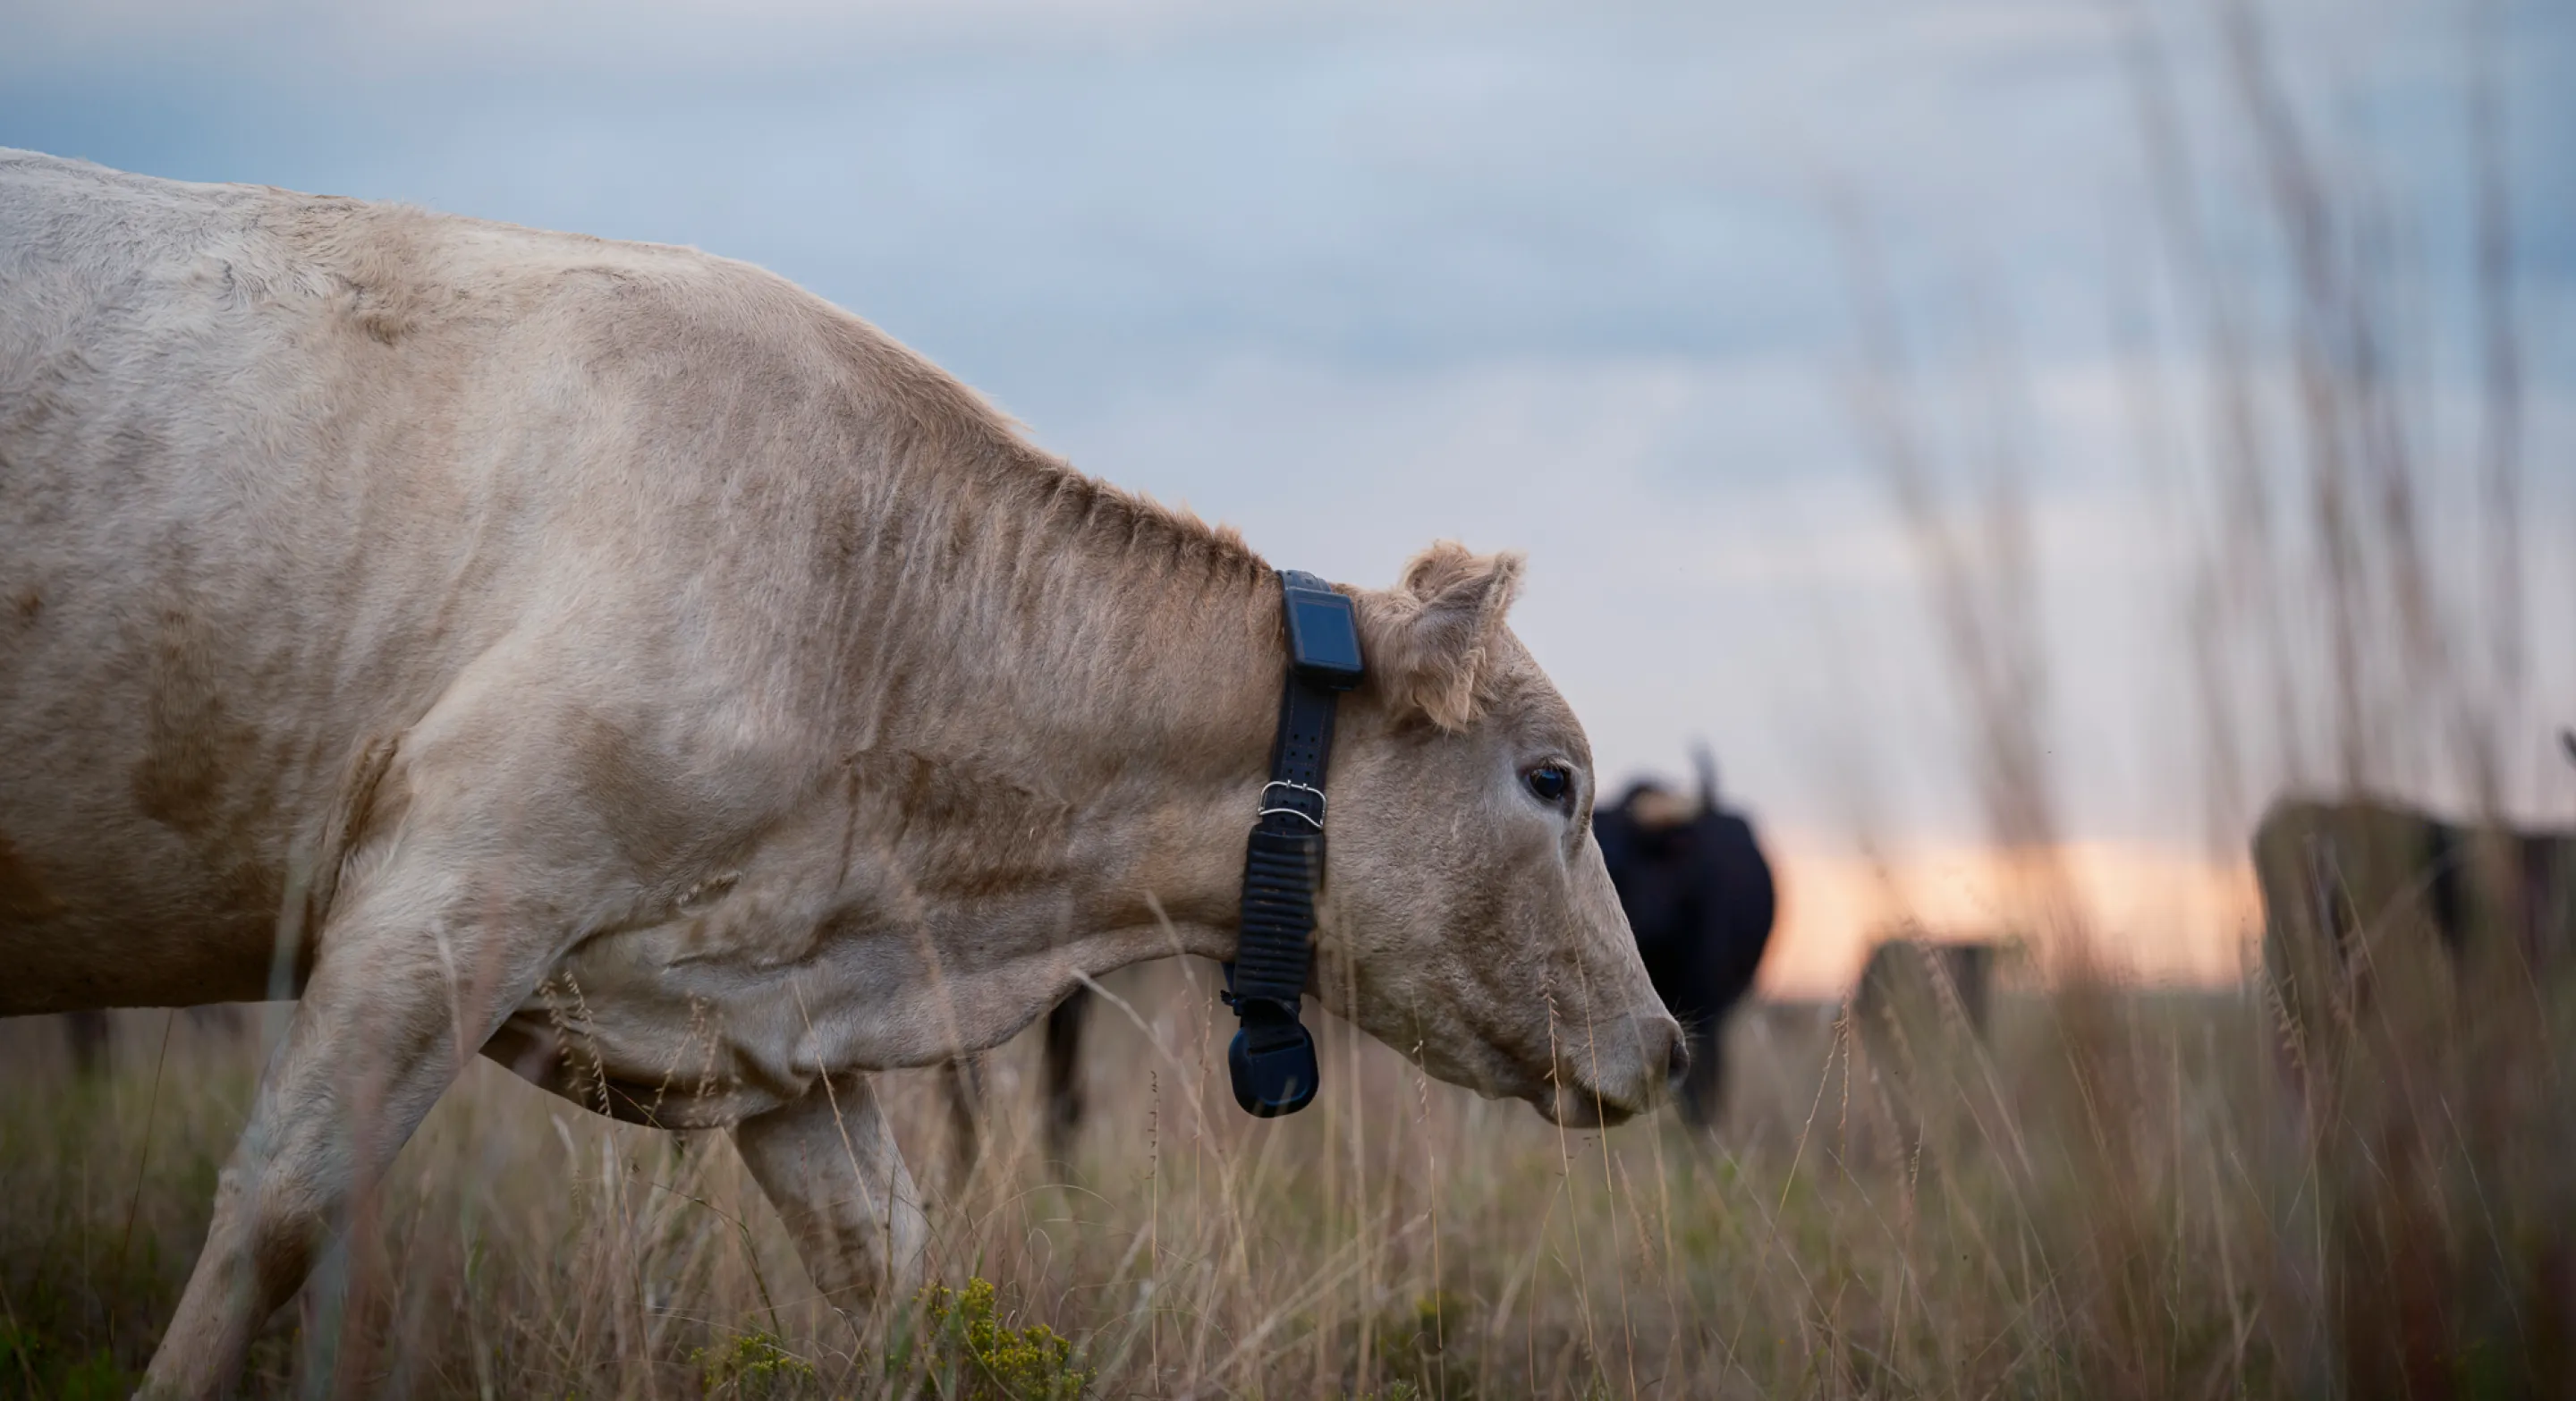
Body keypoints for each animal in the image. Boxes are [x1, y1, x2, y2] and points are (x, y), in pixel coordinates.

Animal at [0, 150, 1682, 1399]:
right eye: (1553, 780)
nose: (1664, 1046)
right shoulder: (455, 888)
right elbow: (278, 1209)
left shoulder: (754, 1011)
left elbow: (883, 1247)